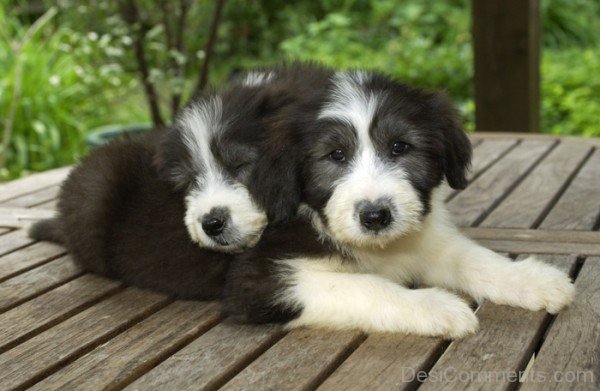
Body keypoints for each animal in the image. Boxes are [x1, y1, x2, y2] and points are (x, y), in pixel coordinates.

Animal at [223, 71, 576, 340]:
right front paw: (435, 306)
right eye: (336, 155)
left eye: (399, 147)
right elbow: (365, 285)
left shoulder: (426, 241)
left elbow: (473, 258)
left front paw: (531, 279)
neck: (382, 249)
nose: (375, 217)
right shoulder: (257, 280)